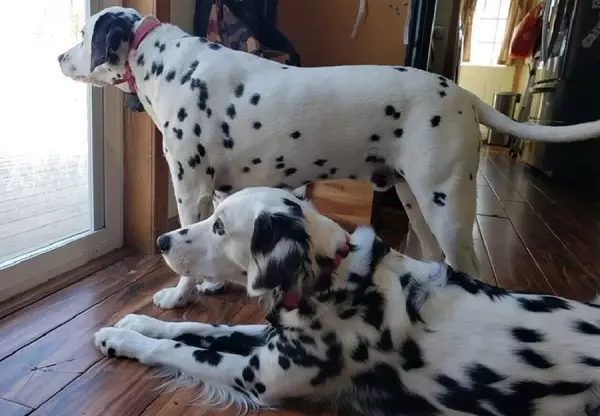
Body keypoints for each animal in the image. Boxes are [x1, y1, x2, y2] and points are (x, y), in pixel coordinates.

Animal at [57, 4, 600, 308]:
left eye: (83, 36)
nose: (59, 57)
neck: (171, 65)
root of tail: (464, 96)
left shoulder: (190, 188)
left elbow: (187, 254)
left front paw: (180, 294)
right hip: (417, 202)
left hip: (447, 205)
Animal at [92, 188, 600, 416]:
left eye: (219, 226)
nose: (161, 240)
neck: (334, 279)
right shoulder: (275, 339)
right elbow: (200, 330)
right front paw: (132, 324)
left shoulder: (259, 376)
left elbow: (180, 348)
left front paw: (124, 340)